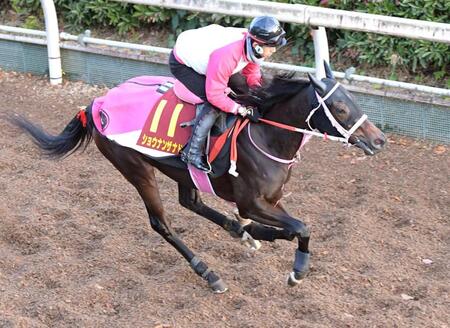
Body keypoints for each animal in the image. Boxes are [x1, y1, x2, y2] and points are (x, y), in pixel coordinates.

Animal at [9, 62, 386, 294]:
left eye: (354, 99)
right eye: (340, 108)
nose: (379, 140)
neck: (265, 134)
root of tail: (96, 103)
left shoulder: (272, 199)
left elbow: (290, 226)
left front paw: (255, 236)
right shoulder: (250, 202)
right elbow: (301, 227)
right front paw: (297, 271)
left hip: (180, 171)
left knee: (190, 202)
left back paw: (240, 235)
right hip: (135, 167)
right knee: (161, 223)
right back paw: (209, 273)